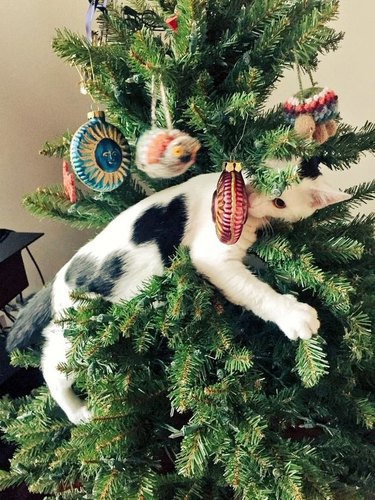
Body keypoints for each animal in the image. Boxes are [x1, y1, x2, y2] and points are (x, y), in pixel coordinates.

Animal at [6, 162, 352, 424]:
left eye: (280, 201)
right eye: (256, 176)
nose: (253, 197)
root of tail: (60, 275)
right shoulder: (211, 257)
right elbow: (254, 291)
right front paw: (294, 315)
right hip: (80, 329)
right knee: (52, 364)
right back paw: (76, 411)